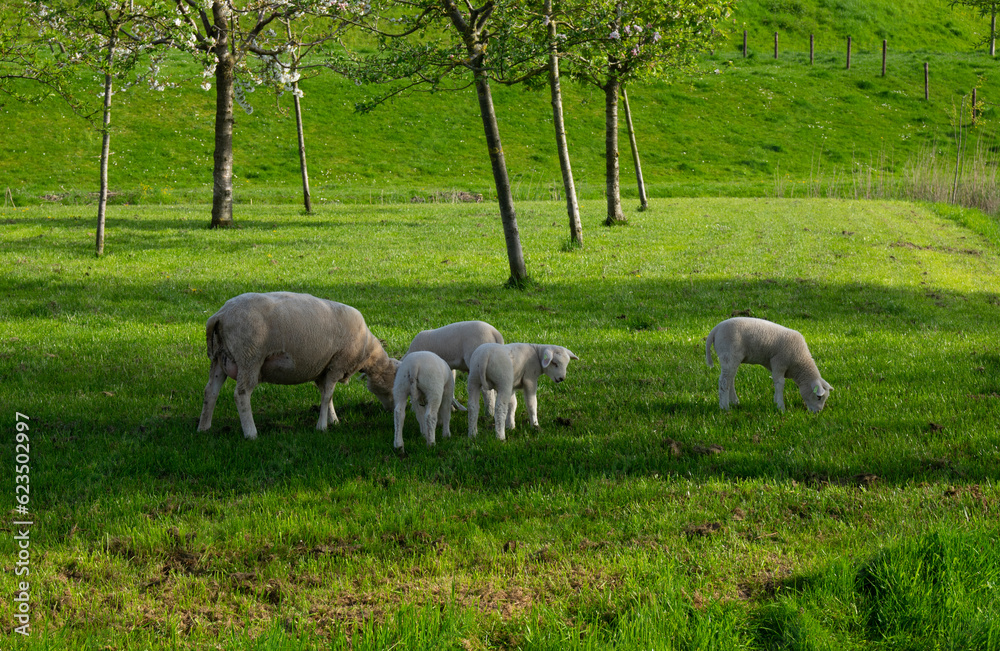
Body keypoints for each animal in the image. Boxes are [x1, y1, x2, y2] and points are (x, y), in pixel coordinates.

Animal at [195, 292, 398, 440]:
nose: (391, 410)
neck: (367, 350)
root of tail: (220, 315)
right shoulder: (337, 364)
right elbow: (328, 396)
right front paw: (322, 427)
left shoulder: (323, 369)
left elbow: (327, 396)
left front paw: (333, 420)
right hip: (249, 357)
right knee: (241, 394)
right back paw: (251, 433)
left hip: (219, 358)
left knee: (210, 392)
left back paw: (204, 427)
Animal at [704, 318, 836, 416]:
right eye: (819, 397)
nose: (818, 412)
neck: (800, 363)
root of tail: (716, 329)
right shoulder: (778, 363)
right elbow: (779, 384)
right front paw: (780, 407)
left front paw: (776, 403)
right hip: (729, 355)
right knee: (724, 381)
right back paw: (724, 407)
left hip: (732, 359)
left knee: (730, 379)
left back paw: (735, 402)